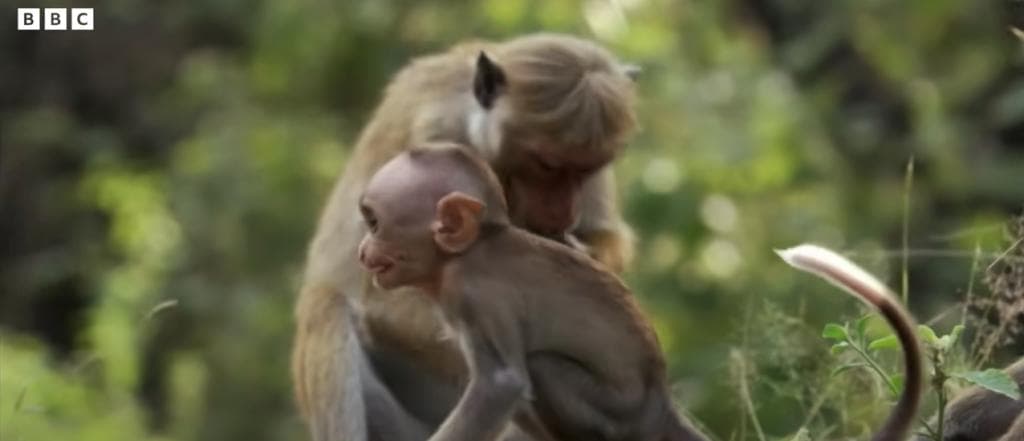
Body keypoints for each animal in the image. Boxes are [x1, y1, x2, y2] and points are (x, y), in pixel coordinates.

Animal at [292, 33, 639, 441]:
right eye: (546, 164)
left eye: (586, 169)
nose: (563, 212)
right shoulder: (432, 137)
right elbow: (391, 300)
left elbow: (604, 245)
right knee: (326, 303)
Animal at [355, 145, 924, 441]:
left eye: (375, 222)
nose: (362, 252)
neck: (469, 250)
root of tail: (661, 404)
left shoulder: (474, 295)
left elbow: (501, 383)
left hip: (615, 411)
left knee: (541, 366)